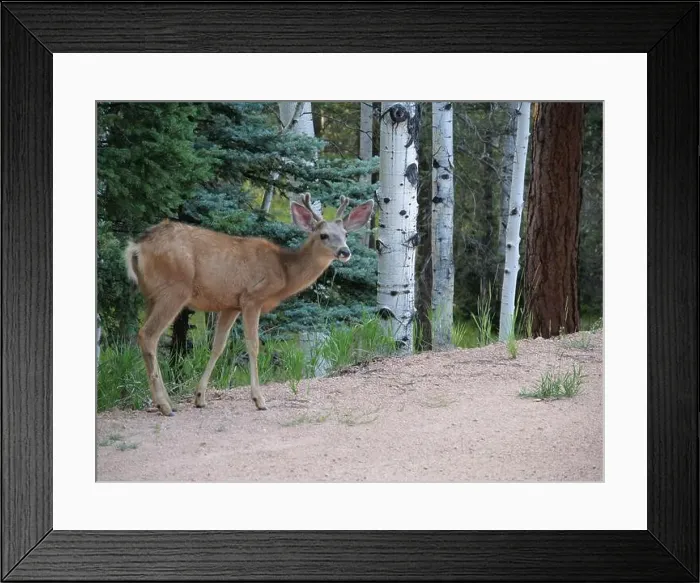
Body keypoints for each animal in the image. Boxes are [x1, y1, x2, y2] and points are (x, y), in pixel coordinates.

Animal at [124, 194, 374, 417]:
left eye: (345, 234)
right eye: (323, 235)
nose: (345, 252)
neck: (284, 271)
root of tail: (136, 247)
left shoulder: (230, 305)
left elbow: (218, 346)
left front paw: (200, 397)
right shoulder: (252, 298)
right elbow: (253, 346)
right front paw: (259, 400)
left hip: (151, 295)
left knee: (148, 337)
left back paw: (167, 402)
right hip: (175, 290)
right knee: (148, 335)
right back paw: (164, 405)